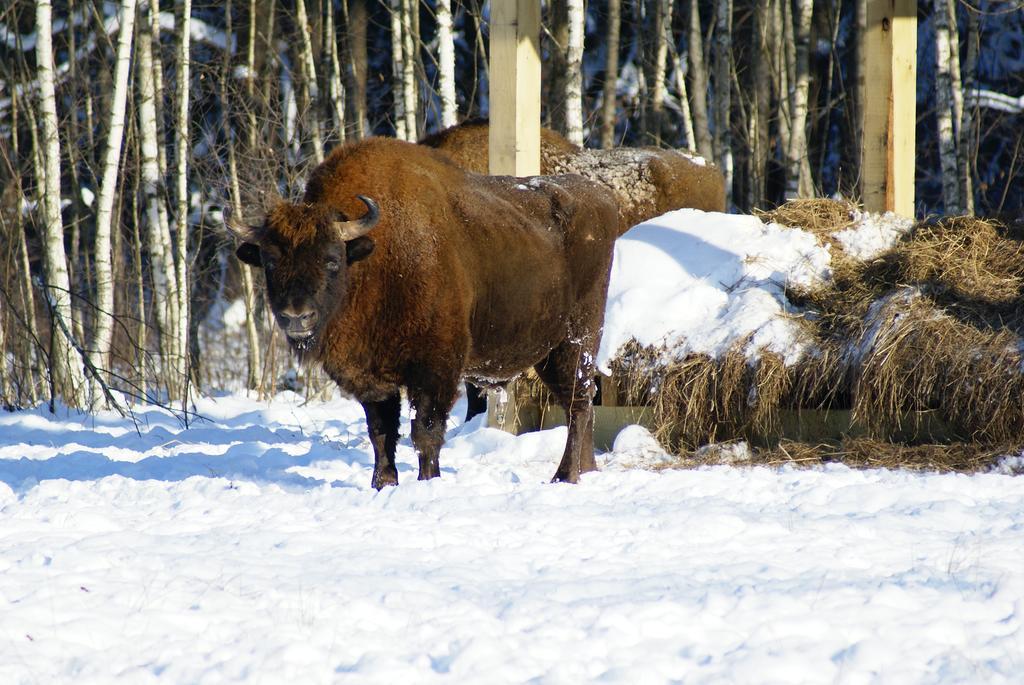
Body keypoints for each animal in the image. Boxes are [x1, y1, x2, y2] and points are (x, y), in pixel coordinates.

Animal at [230, 137, 614, 485]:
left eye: (331, 259)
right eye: (269, 262)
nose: (297, 317)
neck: (373, 258)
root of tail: (603, 199)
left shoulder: (434, 370)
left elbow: (425, 432)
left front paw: (428, 480)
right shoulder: (372, 380)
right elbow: (381, 433)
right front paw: (383, 484)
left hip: (575, 340)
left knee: (579, 403)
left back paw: (564, 476)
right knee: (581, 404)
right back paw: (586, 470)